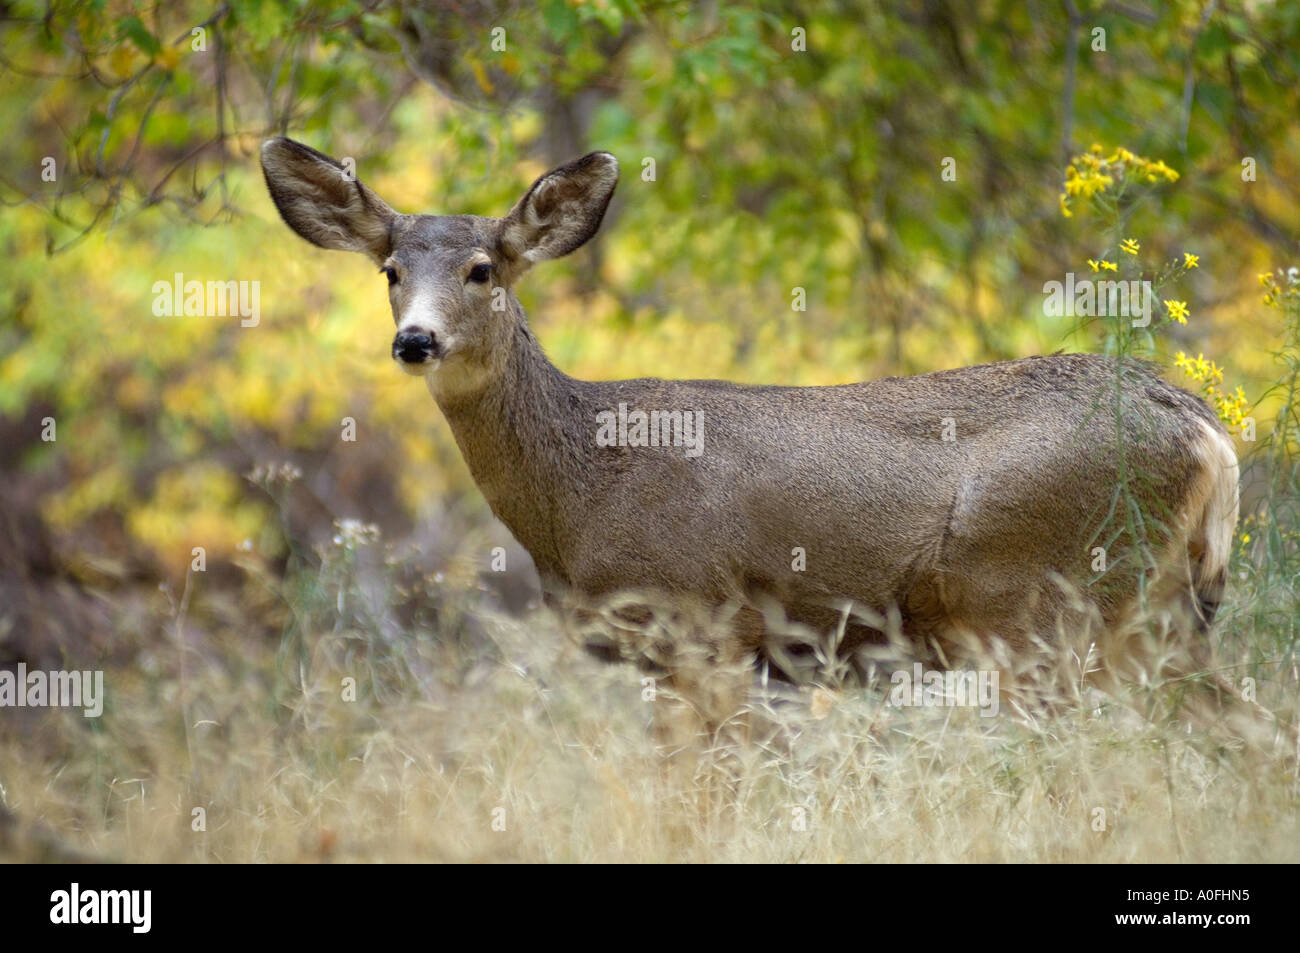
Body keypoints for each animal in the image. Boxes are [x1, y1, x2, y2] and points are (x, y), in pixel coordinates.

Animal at [260, 138, 1260, 749]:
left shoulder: (701, 619)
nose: (415, 341)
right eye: (390, 271)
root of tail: (1207, 428)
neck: (577, 488)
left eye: (481, 268)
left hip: (1044, 599)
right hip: (1159, 611)